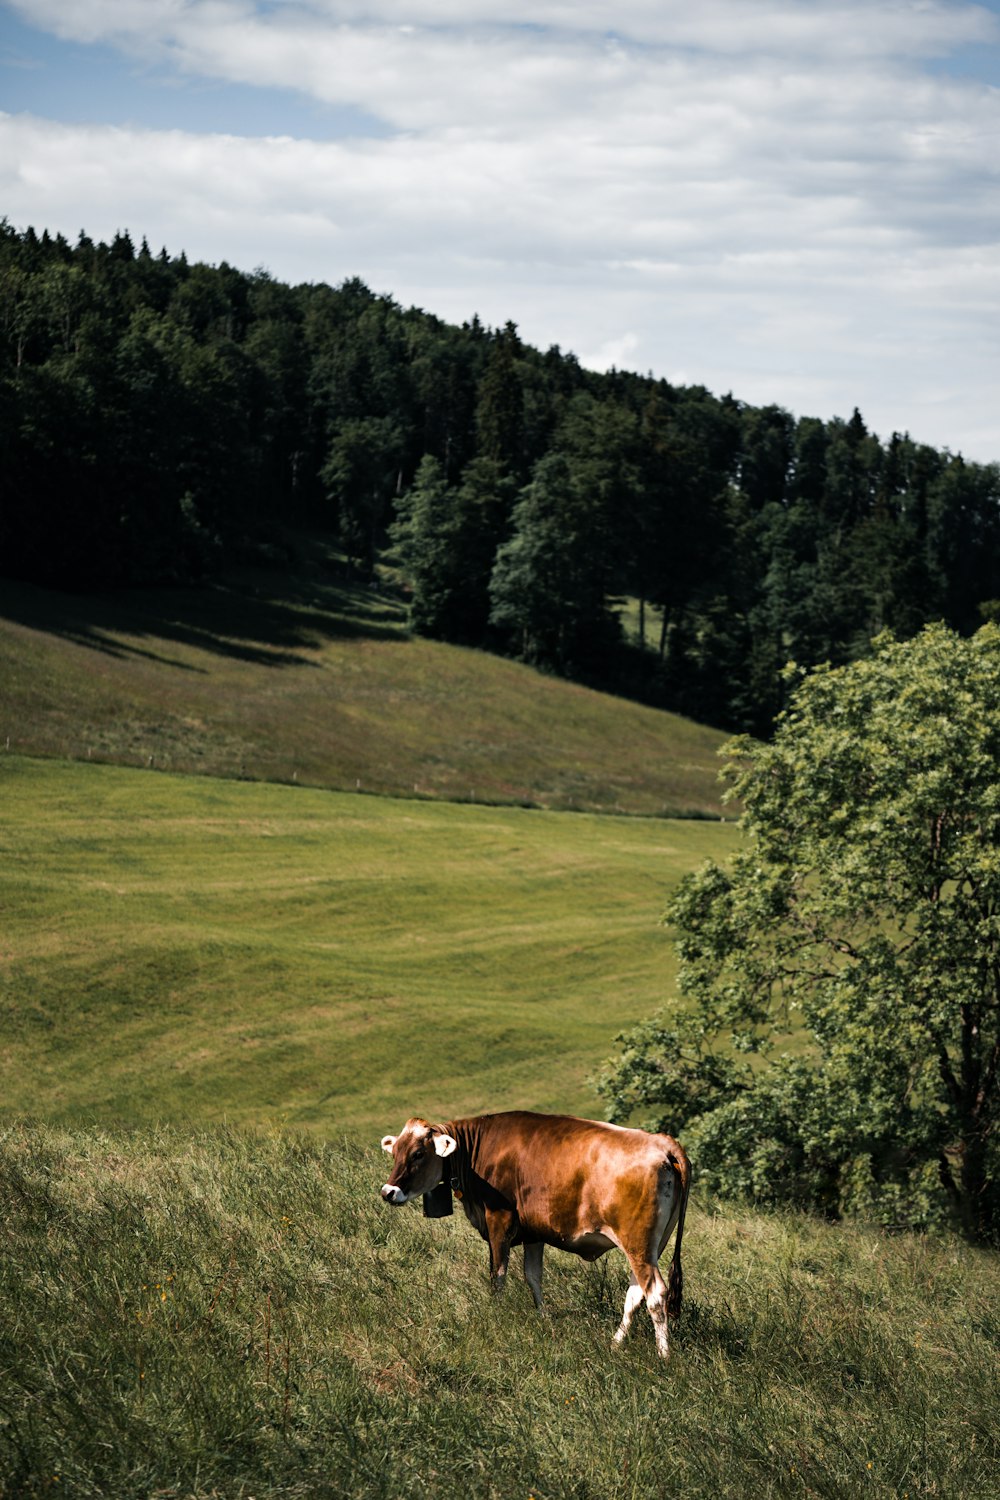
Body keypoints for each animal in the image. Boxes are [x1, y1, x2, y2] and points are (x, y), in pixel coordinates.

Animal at [379, 1104, 692, 1362]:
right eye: (395, 1153)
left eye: (419, 1153)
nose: (387, 1192)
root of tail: (662, 1141)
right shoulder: (534, 1232)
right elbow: (533, 1276)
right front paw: (543, 1318)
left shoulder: (499, 1220)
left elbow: (498, 1276)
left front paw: (496, 1317)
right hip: (651, 1245)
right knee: (635, 1294)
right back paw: (615, 1343)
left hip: (638, 1243)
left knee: (656, 1294)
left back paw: (664, 1355)